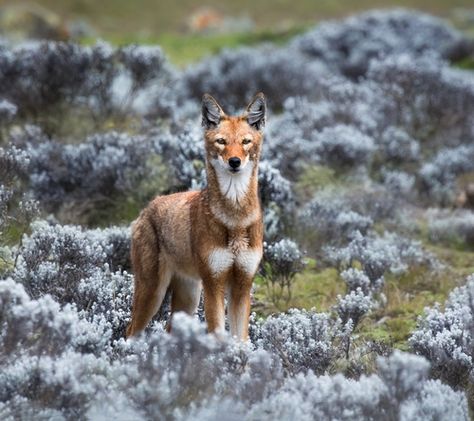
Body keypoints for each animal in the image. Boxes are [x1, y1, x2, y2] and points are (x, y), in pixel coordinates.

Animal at [126, 93, 266, 340]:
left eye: (245, 142)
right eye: (221, 142)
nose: (235, 162)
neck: (235, 218)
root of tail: (146, 209)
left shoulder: (242, 287)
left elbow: (241, 341)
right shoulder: (213, 285)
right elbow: (219, 336)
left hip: (188, 300)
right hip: (153, 293)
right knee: (130, 331)